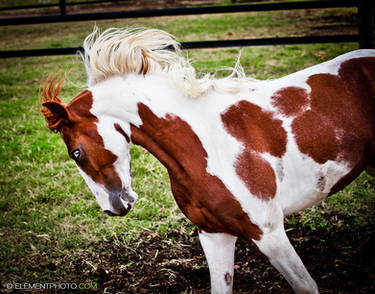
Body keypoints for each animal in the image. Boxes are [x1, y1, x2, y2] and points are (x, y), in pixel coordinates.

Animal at [40, 26, 375, 292]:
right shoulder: (215, 235)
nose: (113, 208)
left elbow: (306, 286)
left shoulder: (269, 233)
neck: (205, 144)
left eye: (76, 152)